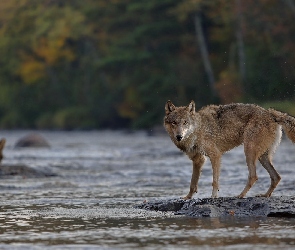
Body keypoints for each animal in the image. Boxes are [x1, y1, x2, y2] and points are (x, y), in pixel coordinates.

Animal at [164, 99, 295, 199]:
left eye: (185, 122)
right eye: (174, 122)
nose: (179, 136)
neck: (198, 130)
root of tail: (270, 113)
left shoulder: (215, 155)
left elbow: (214, 181)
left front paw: (213, 197)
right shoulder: (198, 160)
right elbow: (193, 183)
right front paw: (187, 198)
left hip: (249, 151)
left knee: (254, 176)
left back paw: (240, 196)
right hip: (262, 157)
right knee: (276, 177)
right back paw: (265, 195)